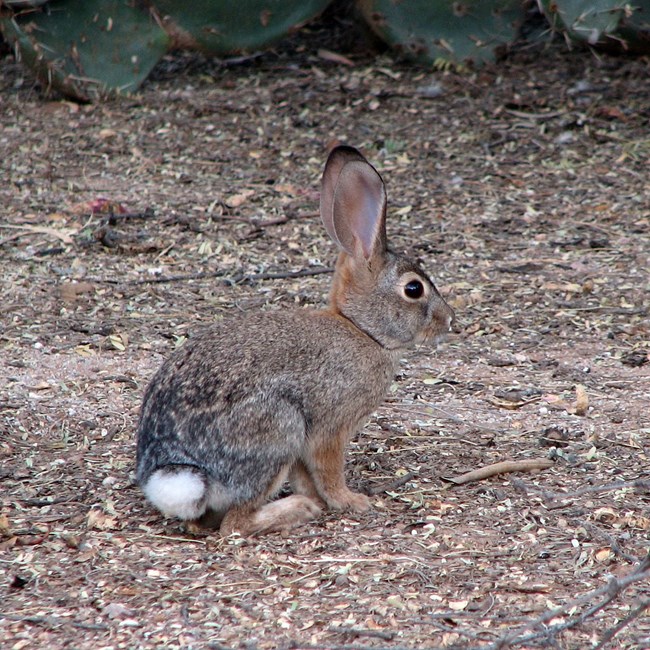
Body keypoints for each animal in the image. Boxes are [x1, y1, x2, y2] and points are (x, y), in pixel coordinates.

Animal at [134, 144, 454, 536]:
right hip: (277, 428)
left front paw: (322, 498)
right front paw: (350, 501)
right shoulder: (329, 428)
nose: (449, 319)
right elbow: (328, 470)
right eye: (413, 289)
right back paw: (297, 509)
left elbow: (304, 474)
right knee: (235, 523)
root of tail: (177, 474)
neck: (360, 328)